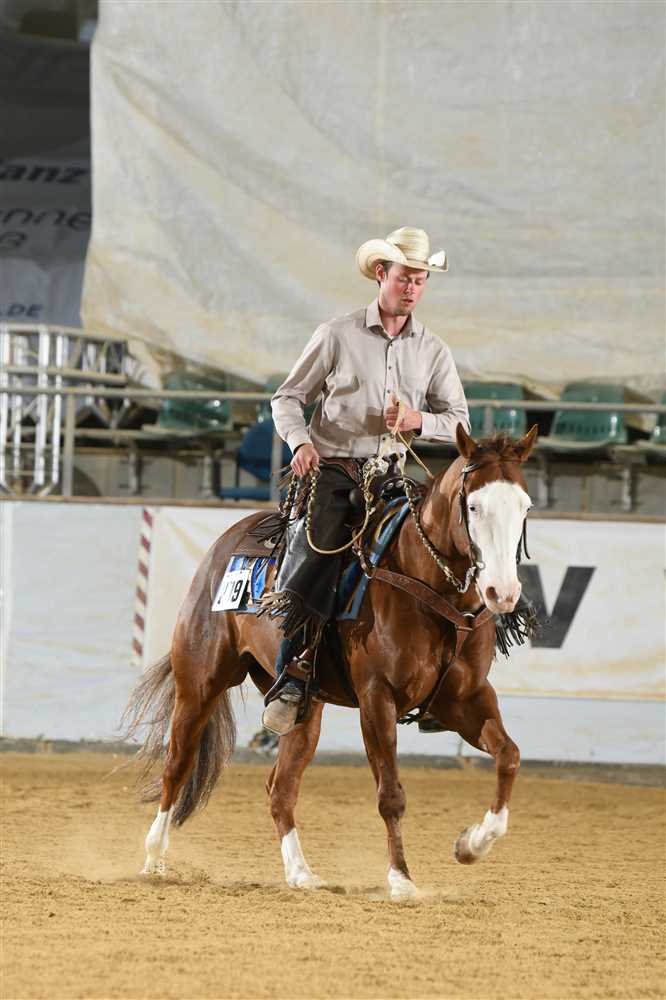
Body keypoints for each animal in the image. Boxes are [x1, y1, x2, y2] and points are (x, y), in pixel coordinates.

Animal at [123, 422, 538, 900]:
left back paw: (300, 873)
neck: (428, 586)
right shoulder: (377, 699)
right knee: (177, 766)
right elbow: (390, 794)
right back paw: (154, 858)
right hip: (199, 683)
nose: (502, 592)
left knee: (280, 787)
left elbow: (509, 756)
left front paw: (470, 844)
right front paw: (401, 879)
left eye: (525, 506)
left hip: (305, 708)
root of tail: (226, 545)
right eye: (473, 505)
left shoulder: (467, 699)